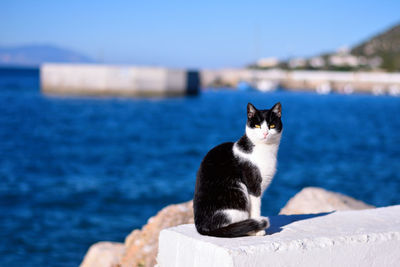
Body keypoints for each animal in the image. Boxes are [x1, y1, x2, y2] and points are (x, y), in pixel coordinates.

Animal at [193, 102, 282, 239]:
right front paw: (257, 231)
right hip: (239, 192)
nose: (265, 133)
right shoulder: (253, 185)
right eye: (257, 125)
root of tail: (203, 229)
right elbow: (255, 209)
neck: (265, 150)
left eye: (272, 126)